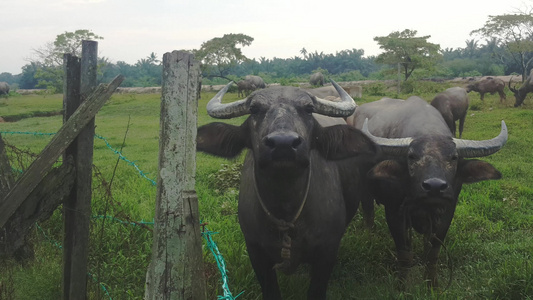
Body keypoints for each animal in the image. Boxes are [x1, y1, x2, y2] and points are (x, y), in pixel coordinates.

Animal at [196, 81, 378, 298]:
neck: (286, 208)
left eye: (308, 109)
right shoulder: (255, 251)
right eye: (254, 109)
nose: (283, 143)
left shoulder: (328, 250)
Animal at [348, 96, 504, 288]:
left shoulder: (447, 211)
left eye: (454, 158)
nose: (435, 186)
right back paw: (369, 237)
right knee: (368, 211)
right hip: (364, 188)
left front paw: (432, 285)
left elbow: (432, 253)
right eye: (412, 156)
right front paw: (402, 286)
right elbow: (404, 255)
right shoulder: (394, 211)